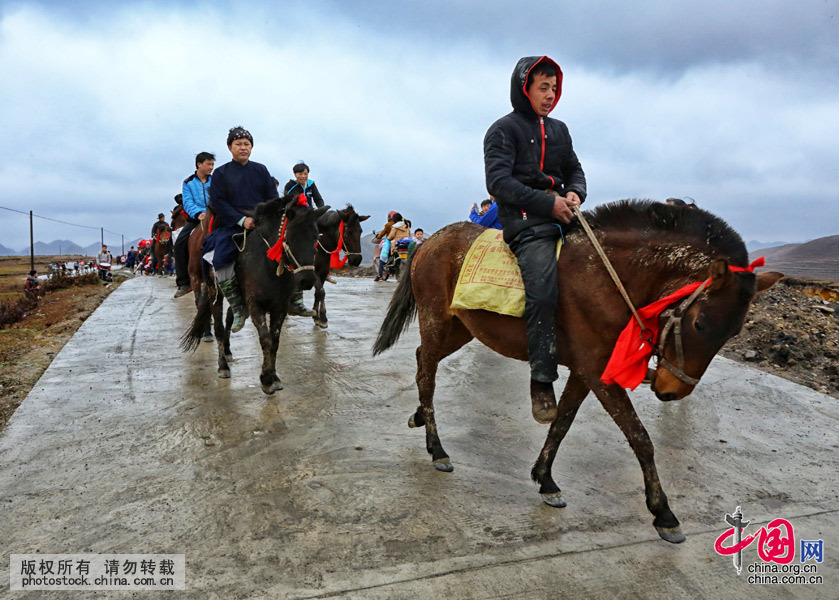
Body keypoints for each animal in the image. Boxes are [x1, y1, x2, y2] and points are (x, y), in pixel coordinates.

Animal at [374, 200, 780, 544]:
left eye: (735, 332)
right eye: (700, 323)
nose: (671, 391)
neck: (609, 278)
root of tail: (428, 243)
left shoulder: (584, 371)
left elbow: (562, 422)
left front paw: (546, 480)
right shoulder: (598, 371)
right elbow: (640, 437)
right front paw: (663, 513)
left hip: (462, 326)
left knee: (422, 361)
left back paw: (419, 419)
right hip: (436, 319)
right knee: (427, 374)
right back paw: (438, 449)